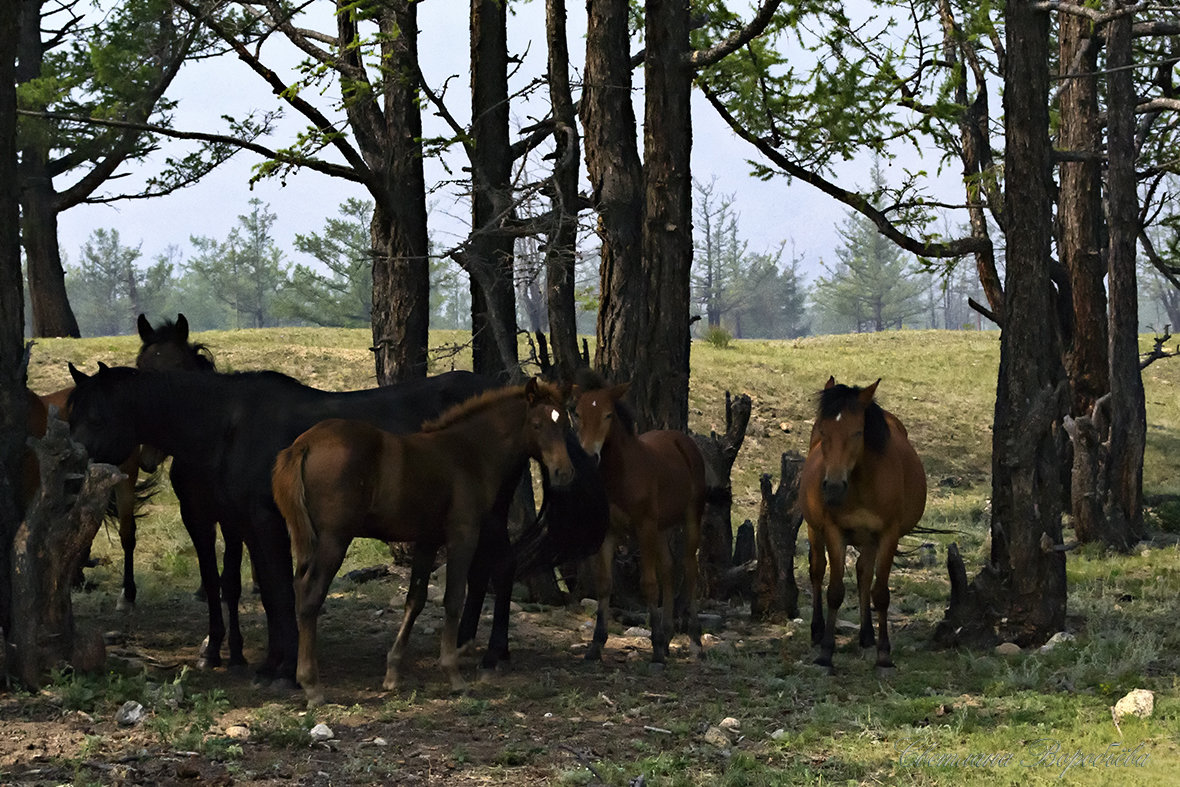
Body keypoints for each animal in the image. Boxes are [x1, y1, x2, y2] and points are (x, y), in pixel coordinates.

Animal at [67, 363, 493, 684]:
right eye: (72, 416)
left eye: (97, 418)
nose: (72, 467)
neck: (230, 426)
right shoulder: (250, 528)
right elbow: (271, 595)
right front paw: (272, 663)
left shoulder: (267, 525)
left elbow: (282, 594)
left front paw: (286, 671)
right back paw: (471, 645)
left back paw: (492, 654)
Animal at [272, 379, 575, 707]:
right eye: (536, 424)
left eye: (564, 424)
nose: (564, 473)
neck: (470, 453)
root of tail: (303, 445)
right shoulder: (462, 535)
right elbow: (453, 599)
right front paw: (453, 675)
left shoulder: (427, 540)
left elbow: (415, 600)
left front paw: (392, 673)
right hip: (334, 540)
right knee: (311, 596)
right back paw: (312, 686)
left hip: (311, 539)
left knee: (299, 588)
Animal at [568, 377, 703, 670]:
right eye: (578, 414)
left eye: (608, 415)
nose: (590, 456)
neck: (622, 473)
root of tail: (681, 439)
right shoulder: (609, 531)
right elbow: (604, 583)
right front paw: (595, 646)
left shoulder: (644, 527)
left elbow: (648, 585)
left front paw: (656, 652)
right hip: (662, 528)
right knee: (669, 569)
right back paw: (668, 636)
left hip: (689, 518)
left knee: (689, 569)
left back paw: (695, 642)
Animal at [797, 377, 925, 674]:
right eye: (824, 431)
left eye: (857, 433)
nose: (833, 487)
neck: (864, 483)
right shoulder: (834, 532)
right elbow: (834, 592)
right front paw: (826, 653)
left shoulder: (888, 535)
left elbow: (880, 593)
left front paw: (884, 654)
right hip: (815, 530)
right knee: (817, 570)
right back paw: (818, 630)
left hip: (869, 540)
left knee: (864, 575)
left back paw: (867, 635)